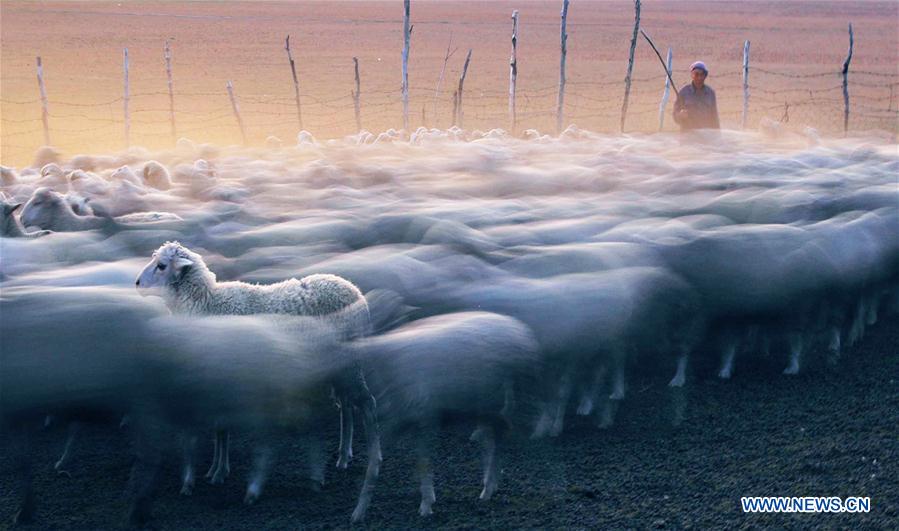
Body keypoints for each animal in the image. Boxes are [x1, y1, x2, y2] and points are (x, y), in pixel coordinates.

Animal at [135, 241, 382, 498]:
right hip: (338, 366)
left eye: (162, 265)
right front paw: (215, 469)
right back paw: (344, 456)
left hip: (349, 364)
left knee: (367, 403)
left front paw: (219, 472)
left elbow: (222, 427)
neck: (208, 303)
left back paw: (373, 461)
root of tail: (354, 291)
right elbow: (218, 427)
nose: (137, 284)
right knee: (346, 405)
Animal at [344, 310, 540, 520]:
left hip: (497, 401)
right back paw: (490, 481)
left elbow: (422, 461)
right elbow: (375, 463)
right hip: (486, 405)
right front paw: (359, 510)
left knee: (497, 440)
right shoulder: (396, 422)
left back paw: (488, 487)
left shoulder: (424, 419)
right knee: (492, 439)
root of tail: (520, 329)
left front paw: (426, 504)